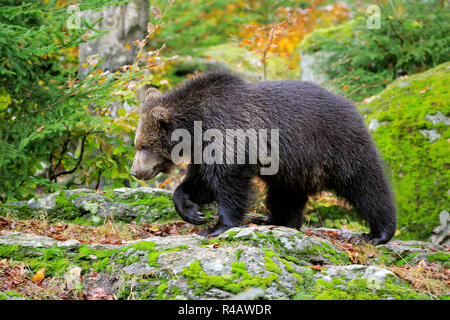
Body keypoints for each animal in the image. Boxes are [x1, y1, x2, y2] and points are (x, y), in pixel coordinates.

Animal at [131, 70, 398, 245]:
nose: (135, 171)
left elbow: (229, 181)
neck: (197, 127)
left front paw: (217, 227)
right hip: (294, 168)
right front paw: (192, 211)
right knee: (284, 195)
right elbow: (200, 182)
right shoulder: (204, 150)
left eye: (143, 145)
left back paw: (378, 234)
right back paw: (273, 219)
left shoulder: (229, 132)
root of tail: (353, 107)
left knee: (366, 186)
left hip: (338, 147)